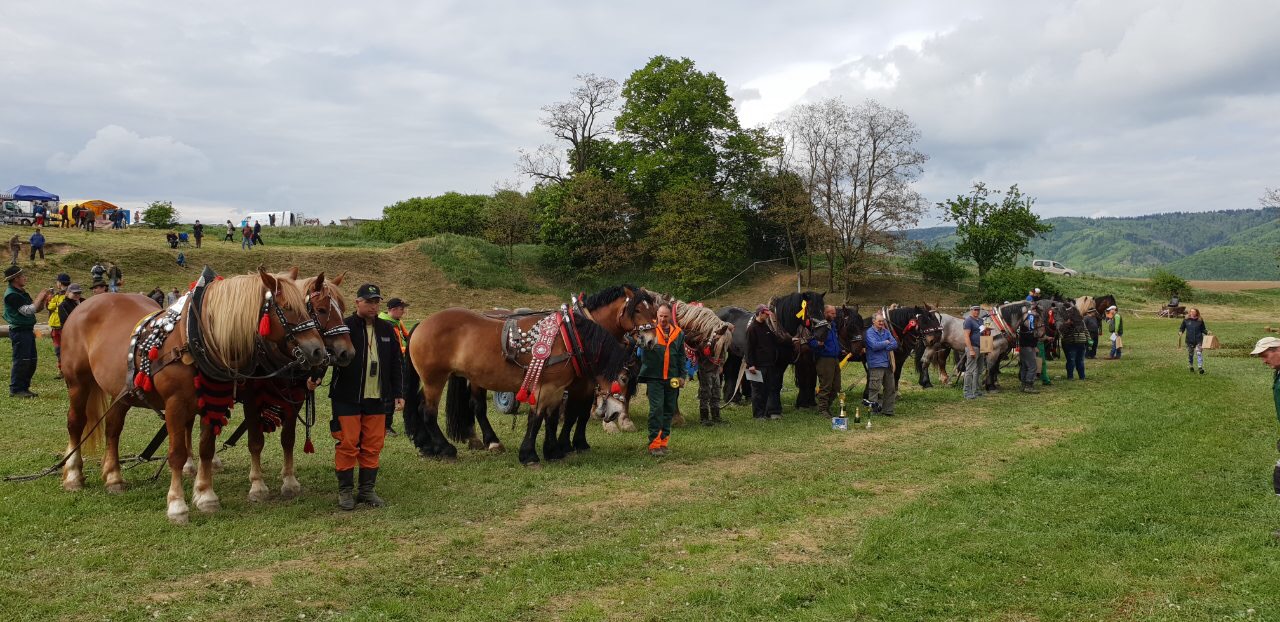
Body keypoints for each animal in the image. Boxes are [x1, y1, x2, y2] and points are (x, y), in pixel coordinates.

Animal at [60, 270, 330, 522]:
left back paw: (114, 477)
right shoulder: (175, 405)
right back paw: (73, 475)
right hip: (78, 383)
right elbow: (177, 454)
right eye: (287, 308)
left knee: (113, 429)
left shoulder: (213, 402)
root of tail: (85, 304)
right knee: (76, 423)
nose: (319, 351)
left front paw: (206, 495)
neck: (195, 339)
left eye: (308, 308)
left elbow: (206, 449)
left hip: (122, 392)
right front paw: (177, 505)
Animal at [401, 284, 660, 463]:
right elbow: (545, 416)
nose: (651, 340)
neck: (570, 335)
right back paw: (447, 448)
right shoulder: (556, 385)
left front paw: (559, 449)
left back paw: (431, 445)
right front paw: (536, 453)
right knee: (428, 410)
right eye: (638, 309)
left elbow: (560, 417)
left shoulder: (565, 386)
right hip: (435, 378)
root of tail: (422, 323)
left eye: (655, 310)